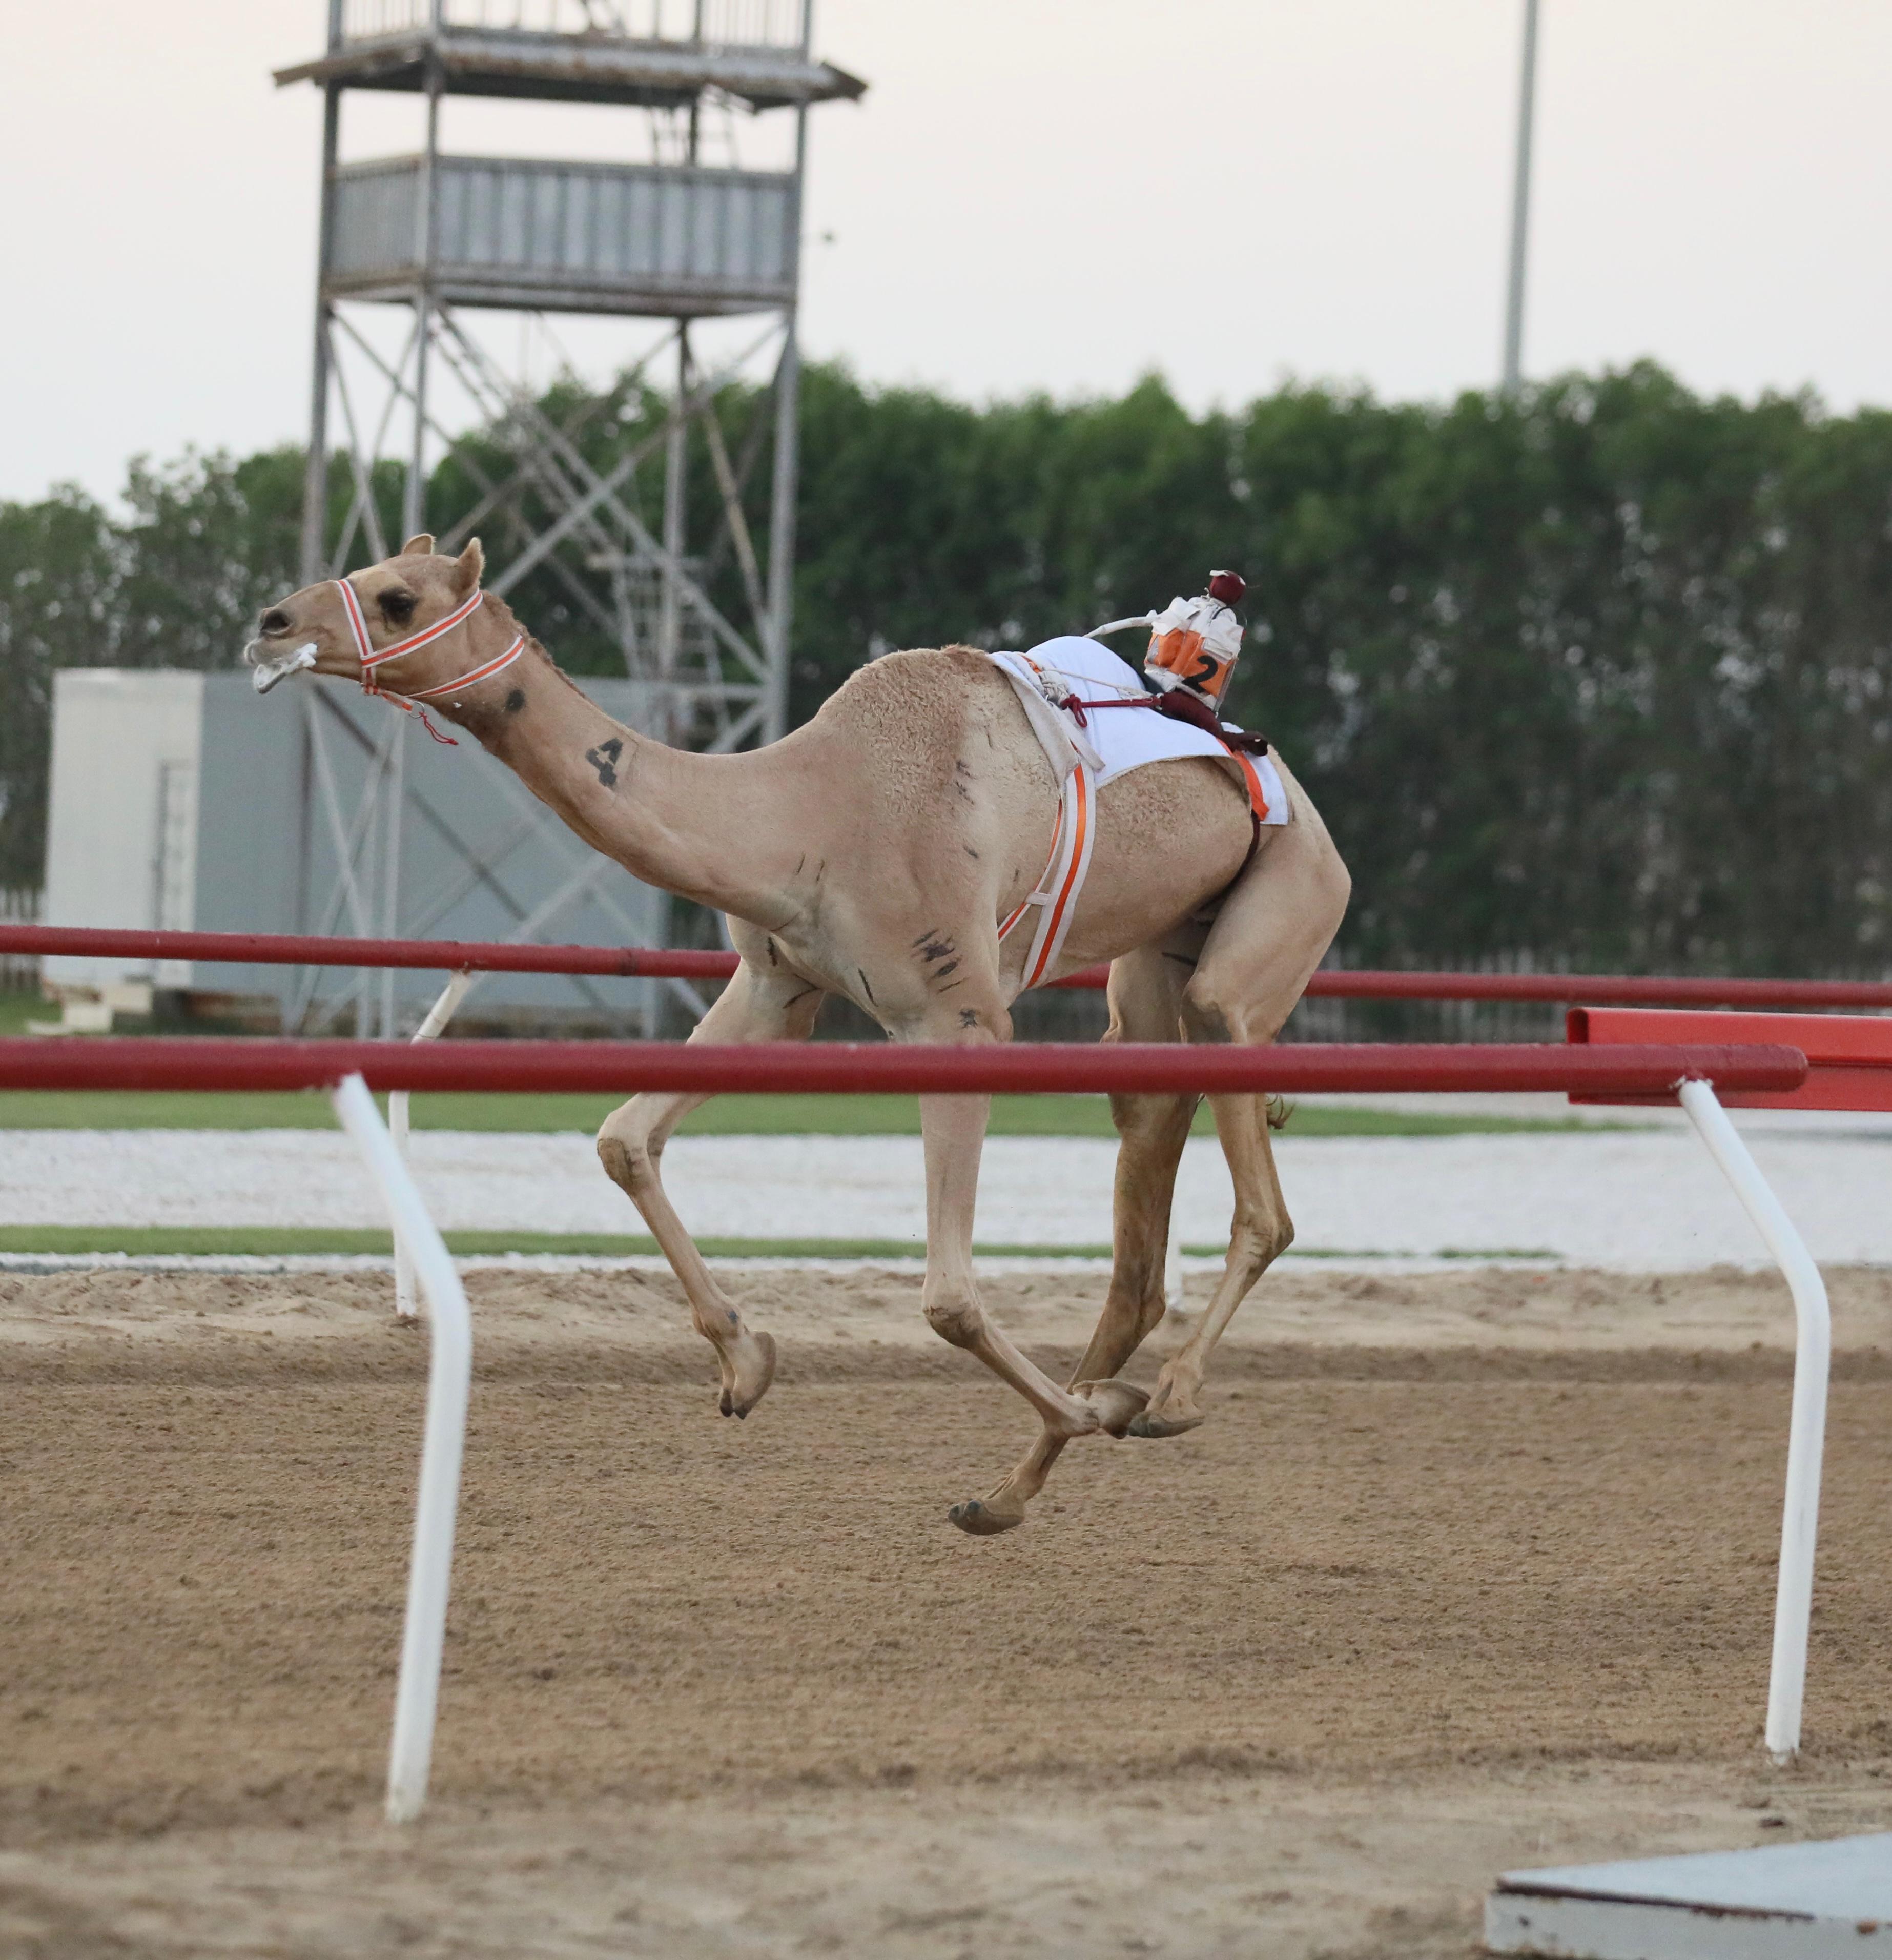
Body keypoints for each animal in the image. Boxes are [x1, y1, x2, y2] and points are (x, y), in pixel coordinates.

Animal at [247, 533, 1341, 1528]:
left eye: (396, 596)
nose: (271, 625)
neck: (810, 808)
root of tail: (1285, 780)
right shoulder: (779, 985)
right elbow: (623, 1138)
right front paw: (746, 1359)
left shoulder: (957, 1016)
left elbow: (948, 1295)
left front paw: (1090, 1408)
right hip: (1153, 965)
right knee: (1138, 1230)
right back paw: (1006, 1490)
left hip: (1279, 912)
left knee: (1256, 1183)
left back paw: (1164, 1398)